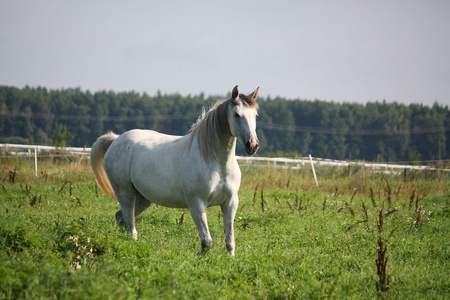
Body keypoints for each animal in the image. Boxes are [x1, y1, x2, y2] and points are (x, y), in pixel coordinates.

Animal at [91, 86, 260, 255]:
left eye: (255, 115)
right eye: (236, 114)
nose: (252, 145)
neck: (216, 162)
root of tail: (116, 139)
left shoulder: (230, 202)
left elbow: (230, 242)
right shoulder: (196, 204)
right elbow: (206, 241)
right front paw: (199, 256)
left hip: (143, 198)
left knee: (121, 219)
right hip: (125, 193)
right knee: (130, 228)